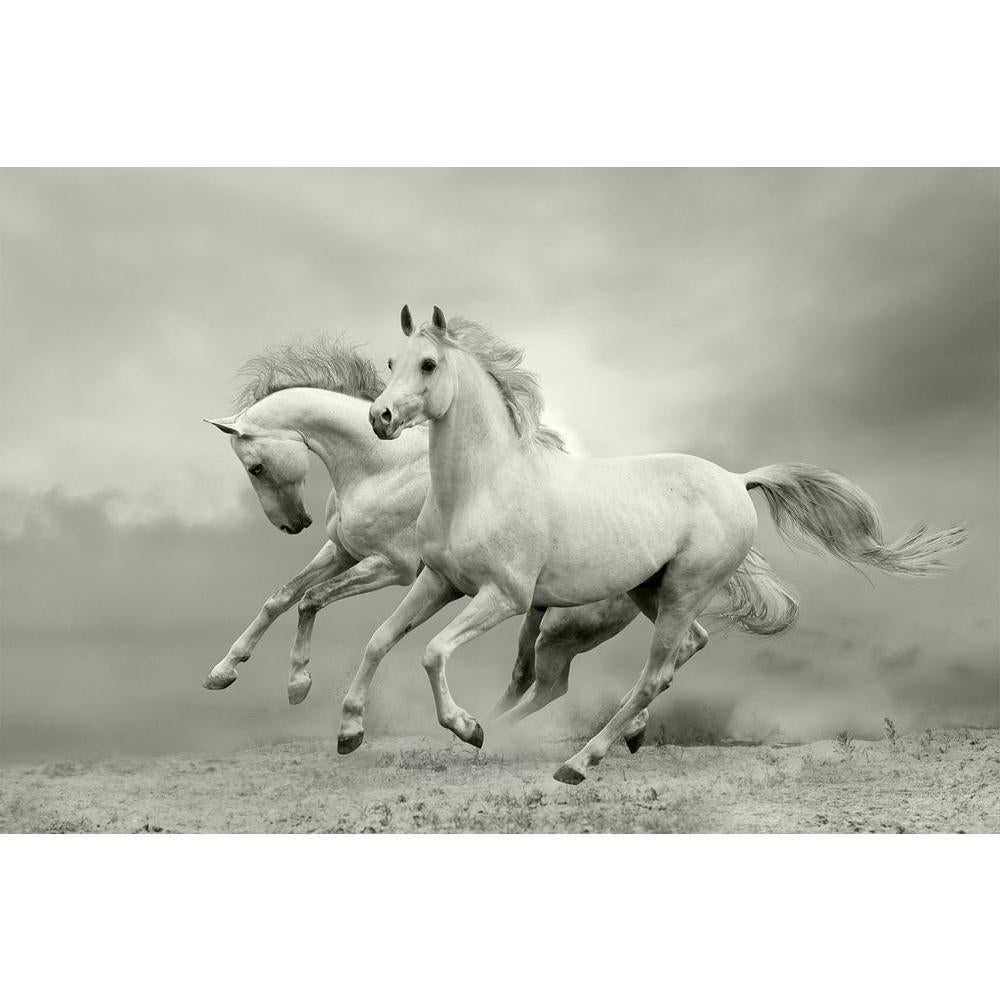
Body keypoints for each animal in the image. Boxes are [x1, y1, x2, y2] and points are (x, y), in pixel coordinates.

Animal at [202, 341, 650, 748]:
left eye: (256, 467)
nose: (294, 524)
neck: (381, 466)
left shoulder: (391, 568)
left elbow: (312, 599)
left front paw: (299, 684)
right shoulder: (343, 551)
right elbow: (281, 597)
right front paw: (223, 672)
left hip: (563, 624)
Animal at [354, 305, 966, 784]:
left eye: (429, 364)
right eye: (391, 363)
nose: (380, 417)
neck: (482, 485)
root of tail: (738, 480)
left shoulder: (503, 597)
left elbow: (433, 651)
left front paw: (468, 728)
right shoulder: (441, 583)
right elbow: (380, 640)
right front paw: (350, 730)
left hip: (681, 592)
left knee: (653, 675)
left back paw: (579, 762)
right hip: (653, 591)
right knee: (683, 649)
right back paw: (603, 739)